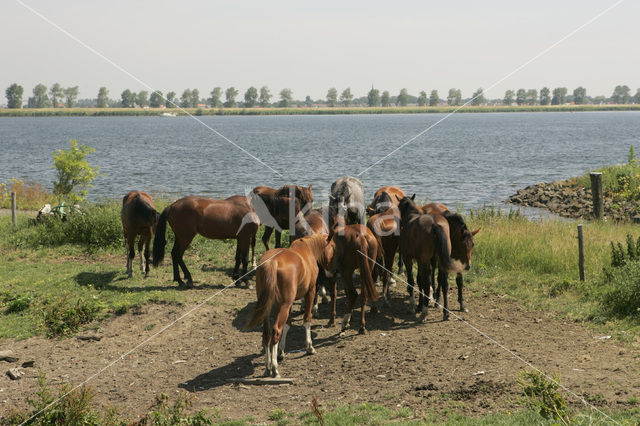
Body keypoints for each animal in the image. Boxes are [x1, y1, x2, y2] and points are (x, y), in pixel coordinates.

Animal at [244, 233, 328, 376]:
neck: (307, 249)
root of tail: (272, 262)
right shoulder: (310, 292)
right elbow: (307, 319)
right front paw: (309, 347)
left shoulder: (283, 302)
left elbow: (287, 324)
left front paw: (281, 352)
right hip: (286, 304)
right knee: (276, 330)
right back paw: (274, 368)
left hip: (269, 306)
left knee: (267, 333)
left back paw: (267, 367)